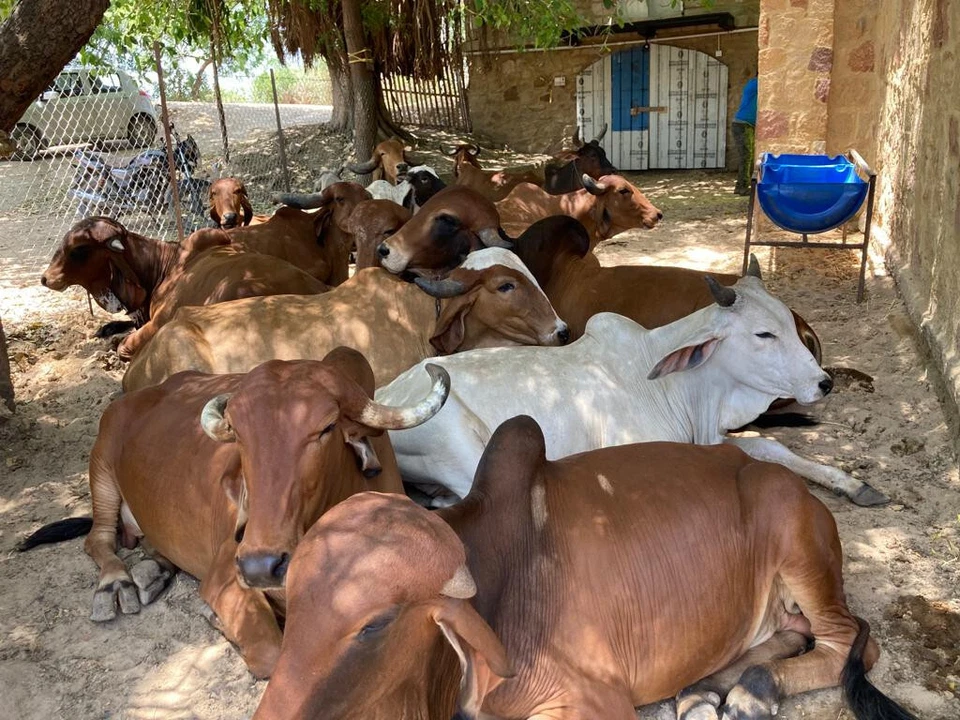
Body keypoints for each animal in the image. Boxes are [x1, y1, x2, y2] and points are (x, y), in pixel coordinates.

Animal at [27, 349, 447, 679]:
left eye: (327, 427)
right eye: (238, 433)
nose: (261, 565)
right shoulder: (224, 577)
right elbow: (272, 654)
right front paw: (216, 619)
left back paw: (154, 571)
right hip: (101, 465)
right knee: (98, 538)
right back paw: (116, 584)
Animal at [40, 217, 328, 361]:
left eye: (78, 250)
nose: (45, 278)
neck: (162, 266)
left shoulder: (158, 322)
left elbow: (124, 346)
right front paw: (106, 330)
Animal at [253, 423, 916, 720]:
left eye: (375, 625)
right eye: (290, 603)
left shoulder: (594, 701)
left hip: (799, 547)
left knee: (852, 643)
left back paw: (755, 692)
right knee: (790, 636)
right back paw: (707, 689)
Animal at [377, 270, 889, 507]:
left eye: (789, 323)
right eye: (764, 334)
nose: (823, 382)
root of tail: (381, 396)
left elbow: (770, 447)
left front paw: (855, 484)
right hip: (455, 437)